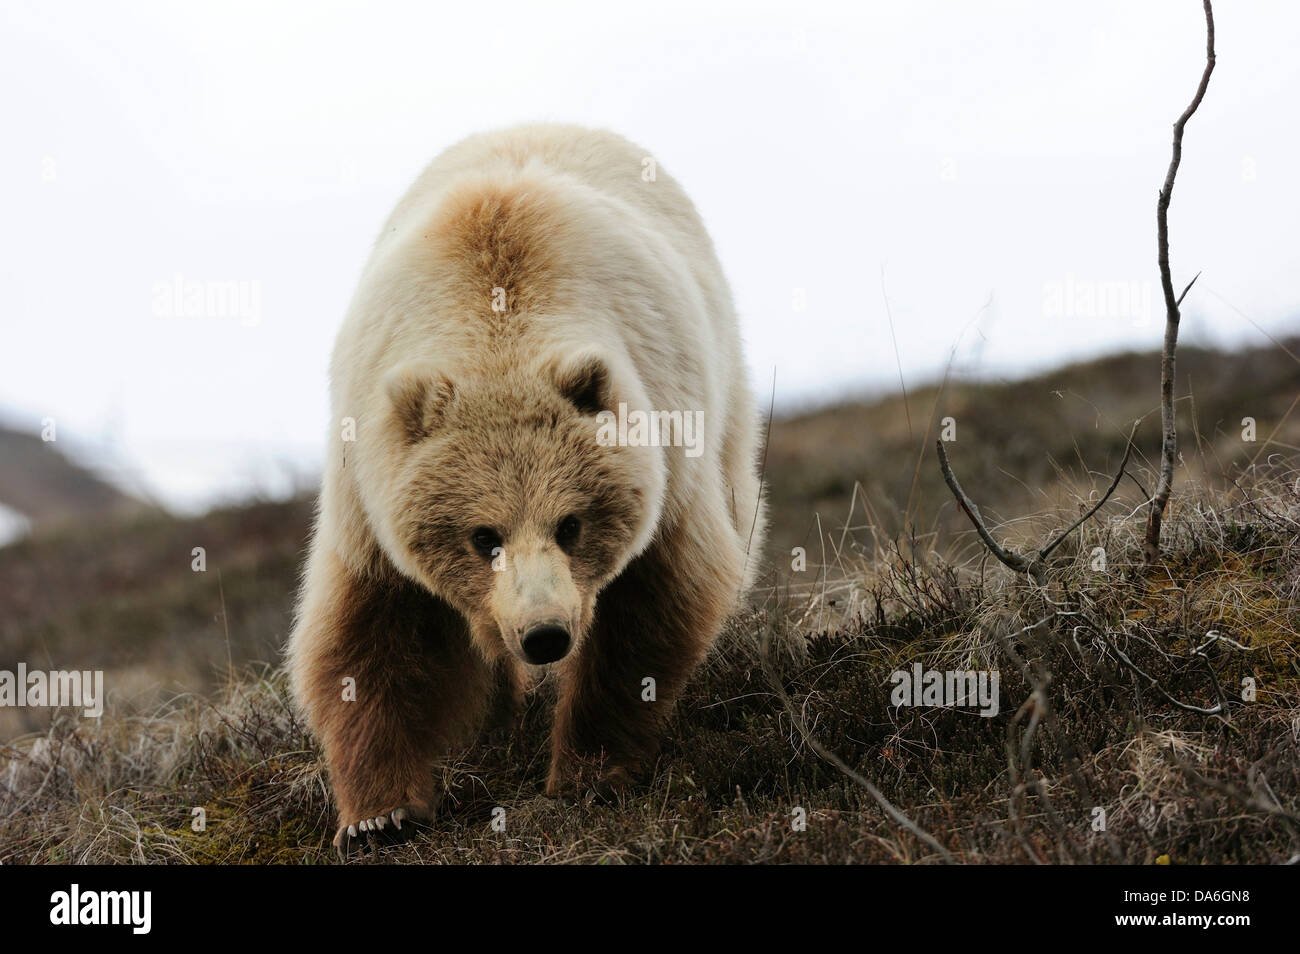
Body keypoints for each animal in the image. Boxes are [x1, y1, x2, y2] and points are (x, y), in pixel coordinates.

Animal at [289, 123, 764, 857]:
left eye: (571, 523)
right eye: (483, 536)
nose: (544, 635)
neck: (495, 320)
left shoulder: (663, 443)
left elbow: (651, 606)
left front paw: (586, 773)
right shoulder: (366, 488)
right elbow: (369, 630)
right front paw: (378, 814)